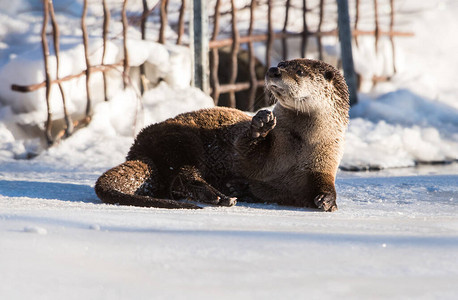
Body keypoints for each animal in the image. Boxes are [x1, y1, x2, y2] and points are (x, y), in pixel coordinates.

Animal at [95, 58, 348, 211]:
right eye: (281, 62)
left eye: (300, 71)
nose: (273, 70)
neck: (299, 145)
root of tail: (138, 148)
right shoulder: (269, 151)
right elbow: (247, 152)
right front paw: (261, 123)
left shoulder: (324, 162)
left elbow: (321, 186)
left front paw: (327, 200)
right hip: (182, 140)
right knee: (181, 176)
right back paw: (221, 196)